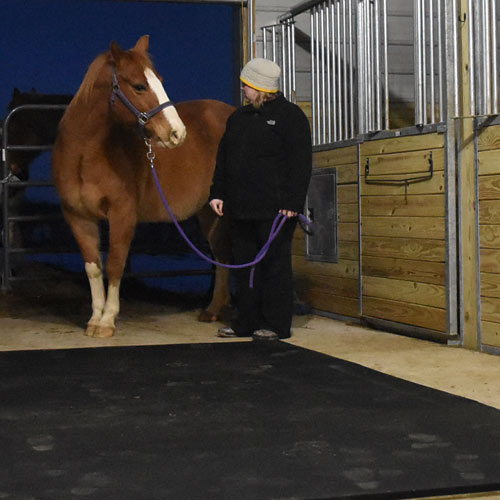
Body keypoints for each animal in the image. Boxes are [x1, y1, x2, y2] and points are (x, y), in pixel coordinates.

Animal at [51, 35, 235, 338]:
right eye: (139, 85)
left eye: (160, 80)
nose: (178, 133)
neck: (85, 155)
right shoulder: (77, 216)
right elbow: (93, 268)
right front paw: (94, 320)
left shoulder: (123, 214)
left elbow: (115, 265)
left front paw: (107, 321)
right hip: (210, 211)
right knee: (222, 253)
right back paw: (212, 311)